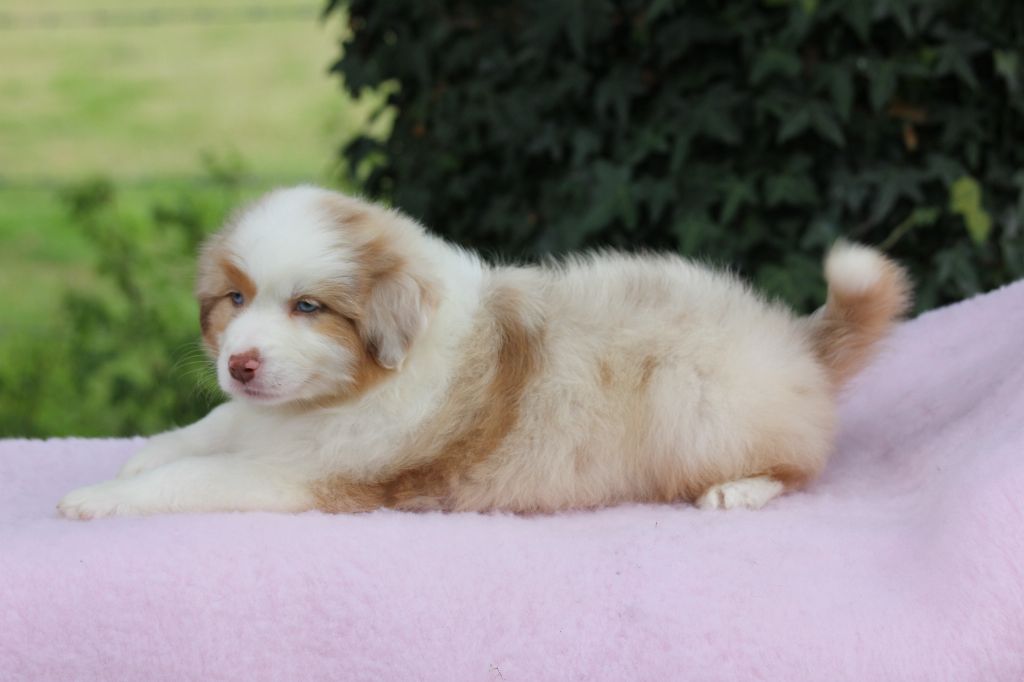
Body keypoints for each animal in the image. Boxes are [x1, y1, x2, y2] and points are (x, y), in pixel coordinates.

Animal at [58, 185, 910, 519]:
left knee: (798, 465)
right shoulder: (262, 421)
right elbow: (210, 429)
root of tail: (790, 335)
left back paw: (739, 490)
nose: (240, 364)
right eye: (236, 299)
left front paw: (96, 497)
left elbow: (200, 476)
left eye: (309, 308)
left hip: (700, 403)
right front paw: (143, 453)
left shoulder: (309, 478)